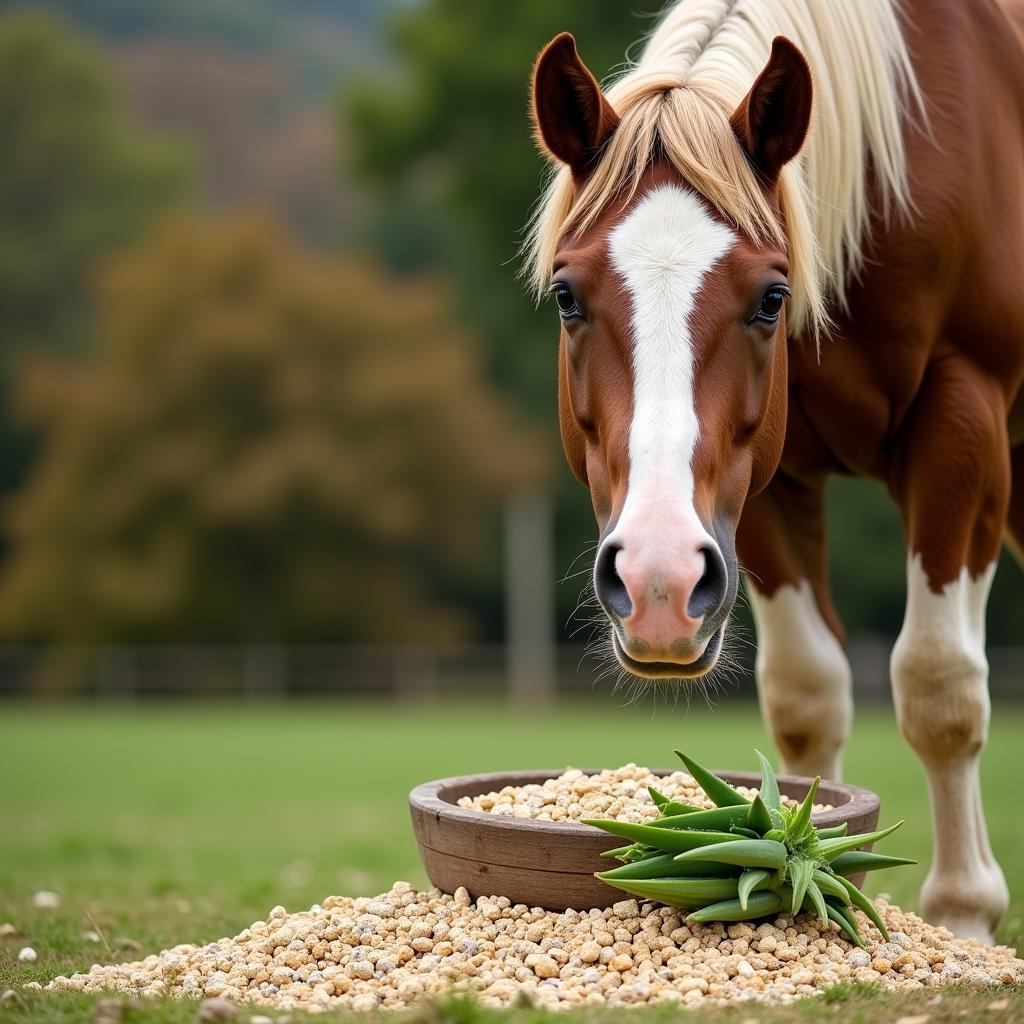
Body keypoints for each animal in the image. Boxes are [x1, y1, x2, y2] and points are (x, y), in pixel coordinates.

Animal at [528, 0, 1024, 942]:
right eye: (567, 297)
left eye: (771, 299)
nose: (654, 581)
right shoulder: (763, 486)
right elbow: (807, 695)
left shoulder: (964, 419)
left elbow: (940, 689)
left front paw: (961, 921)